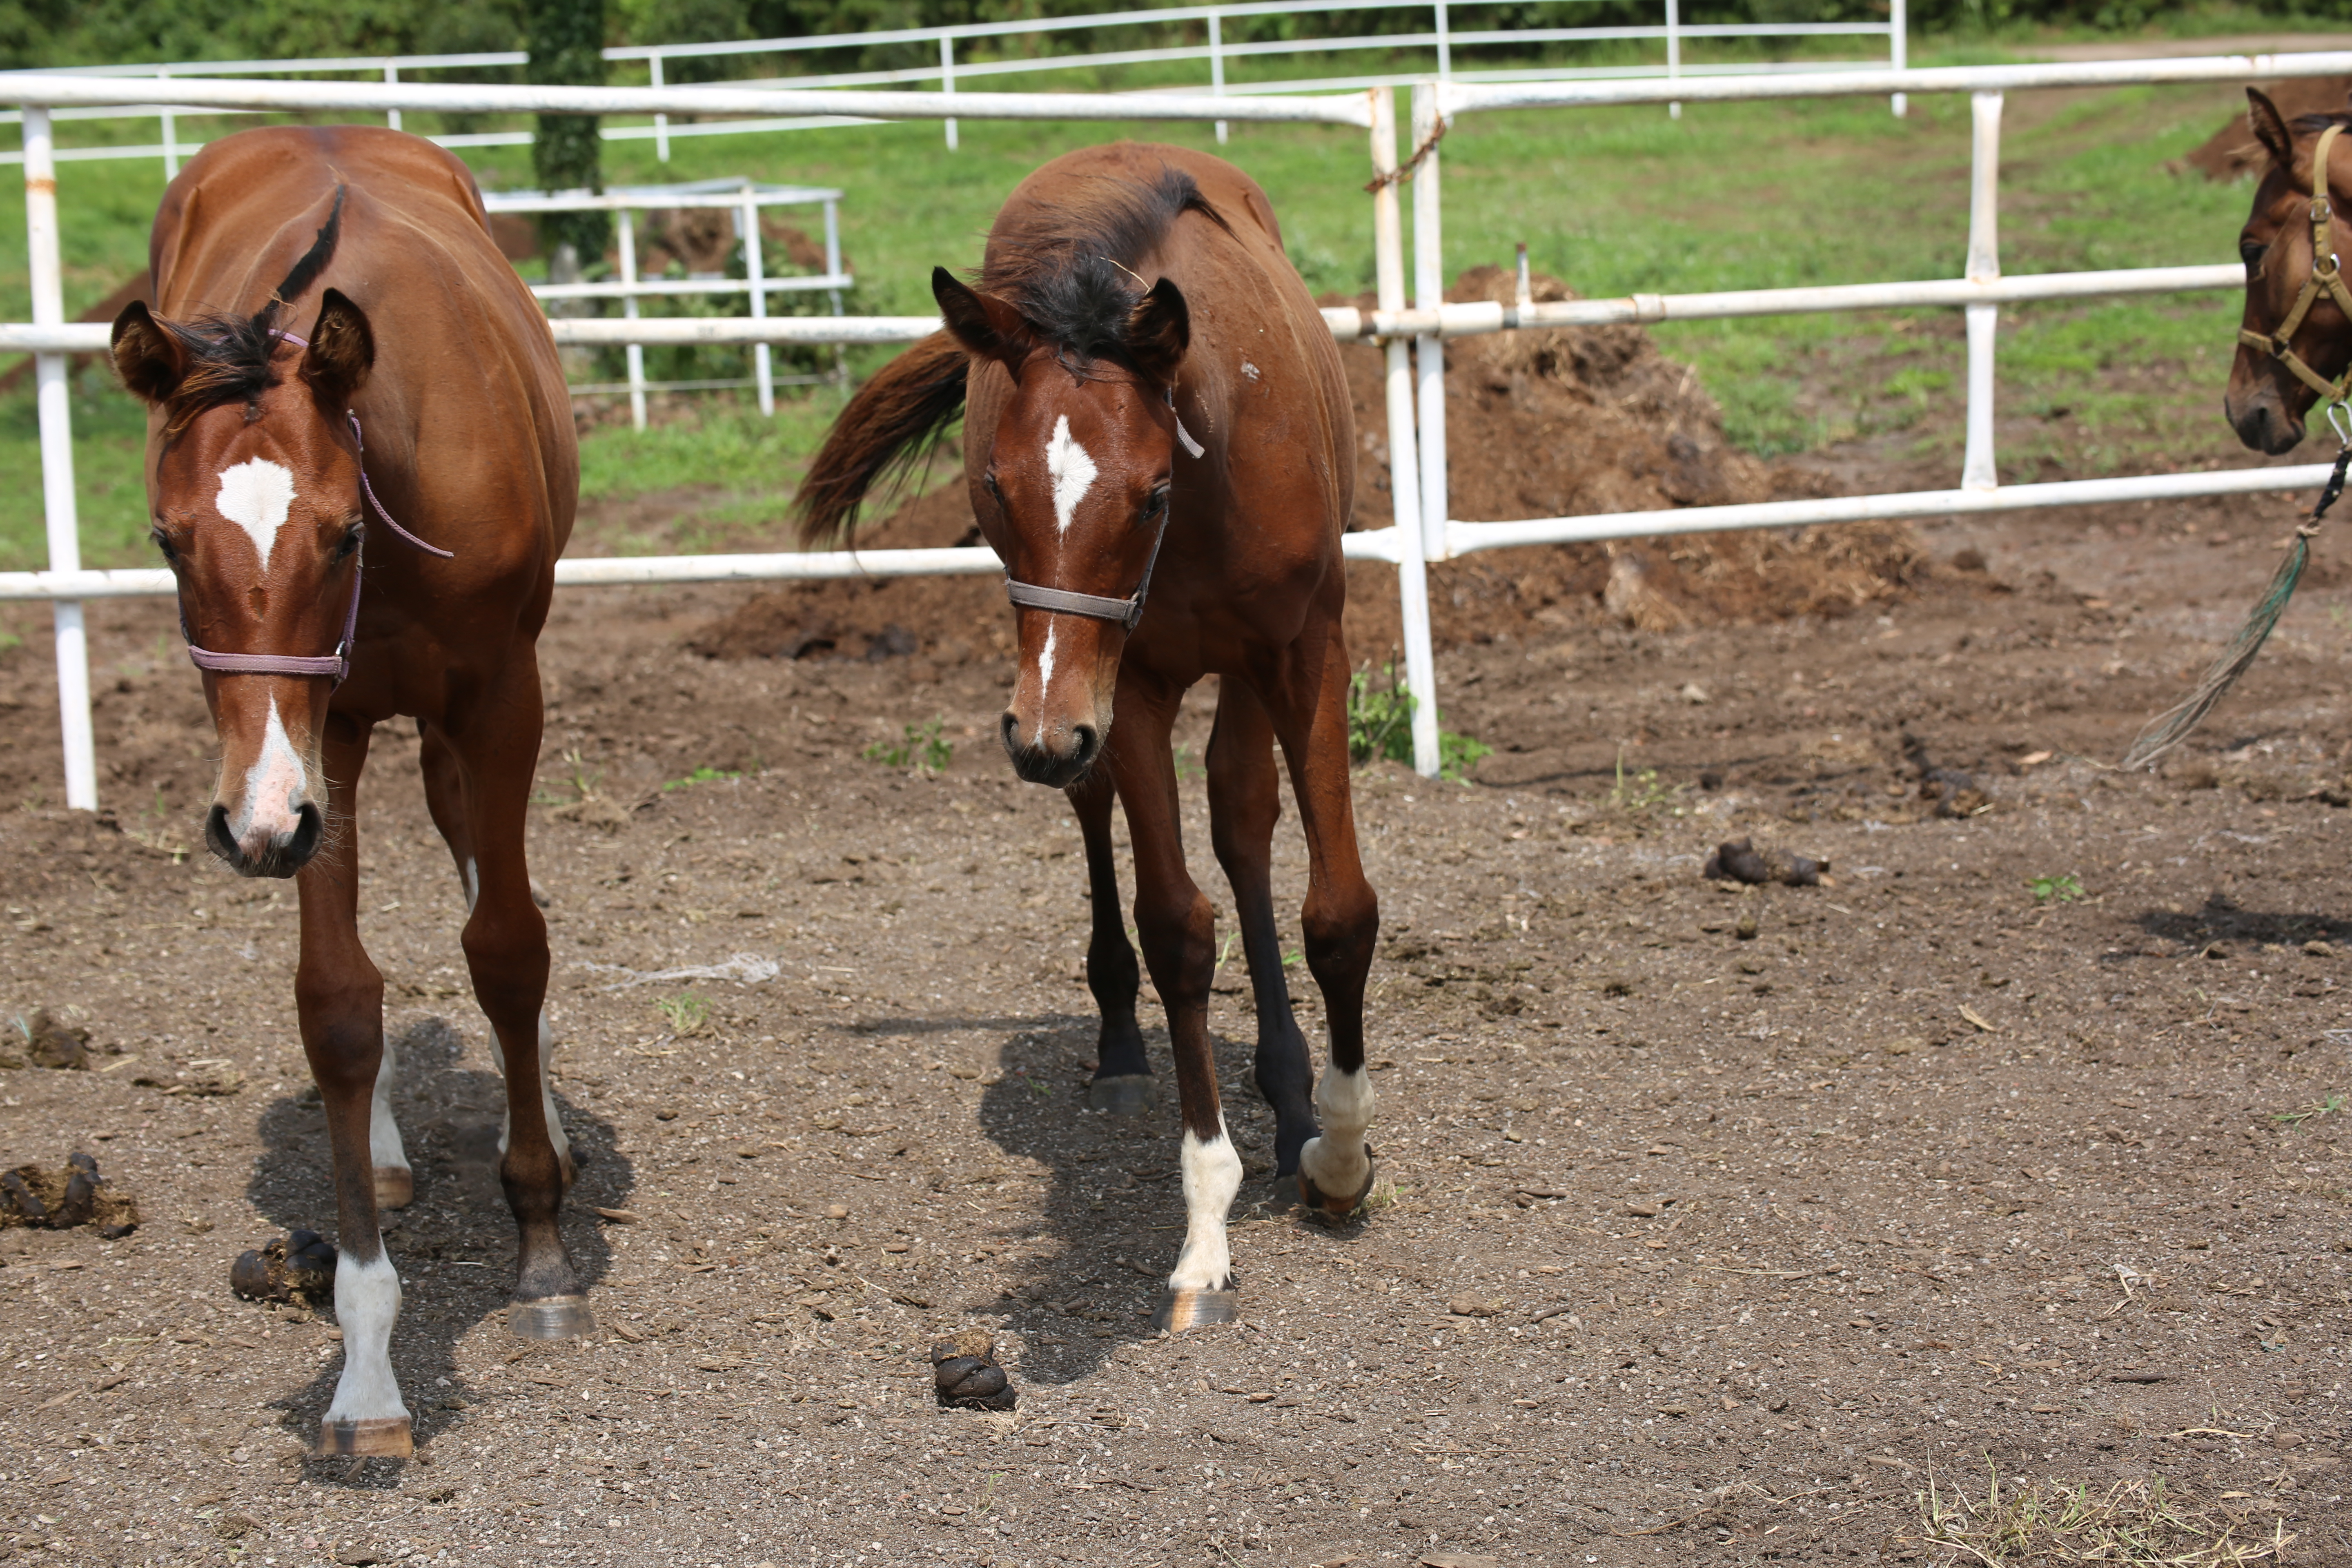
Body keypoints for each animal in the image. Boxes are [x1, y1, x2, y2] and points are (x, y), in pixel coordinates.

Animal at [109, 126, 588, 1457]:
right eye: (169, 543)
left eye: (338, 534)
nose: (252, 825)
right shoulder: (307, 737)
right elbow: (336, 1004)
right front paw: (367, 1368)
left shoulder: (499, 696)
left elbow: (508, 948)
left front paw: (541, 1244)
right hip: (338, 741)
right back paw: (377, 1152)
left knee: (477, 861)